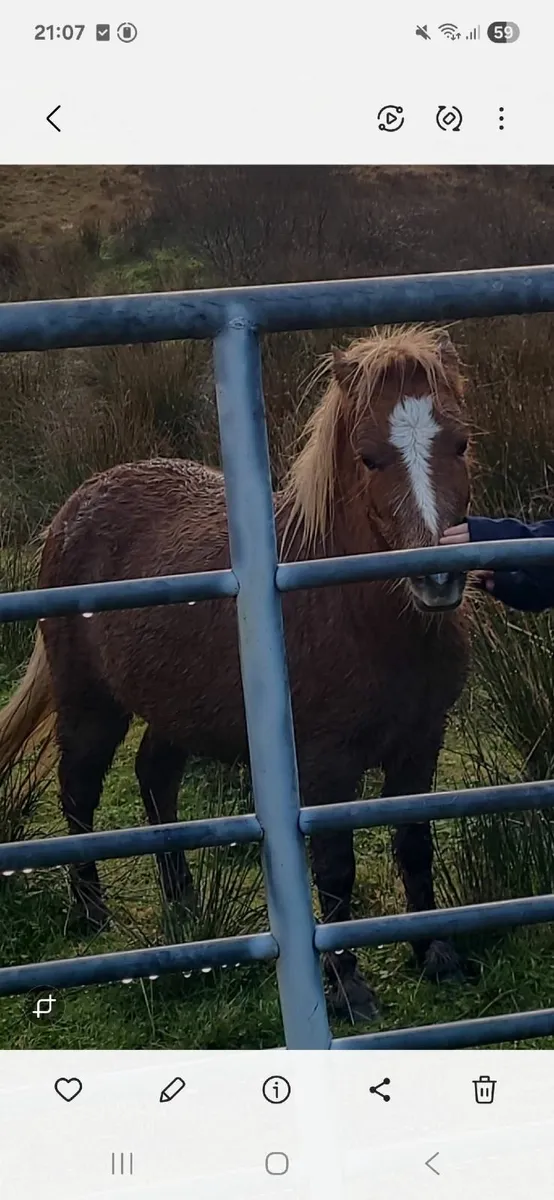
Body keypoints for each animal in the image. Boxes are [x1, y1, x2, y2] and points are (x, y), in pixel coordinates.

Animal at [0, 324, 472, 1022]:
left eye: (460, 442)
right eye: (368, 458)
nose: (438, 577)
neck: (358, 614)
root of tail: (76, 503)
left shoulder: (422, 743)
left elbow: (414, 844)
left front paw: (436, 954)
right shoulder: (324, 764)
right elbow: (334, 871)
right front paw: (348, 990)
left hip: (175, 710)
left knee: (155, 779)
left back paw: (184, 905)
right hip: (90, 704)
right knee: (79, 792)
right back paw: (91, 913)